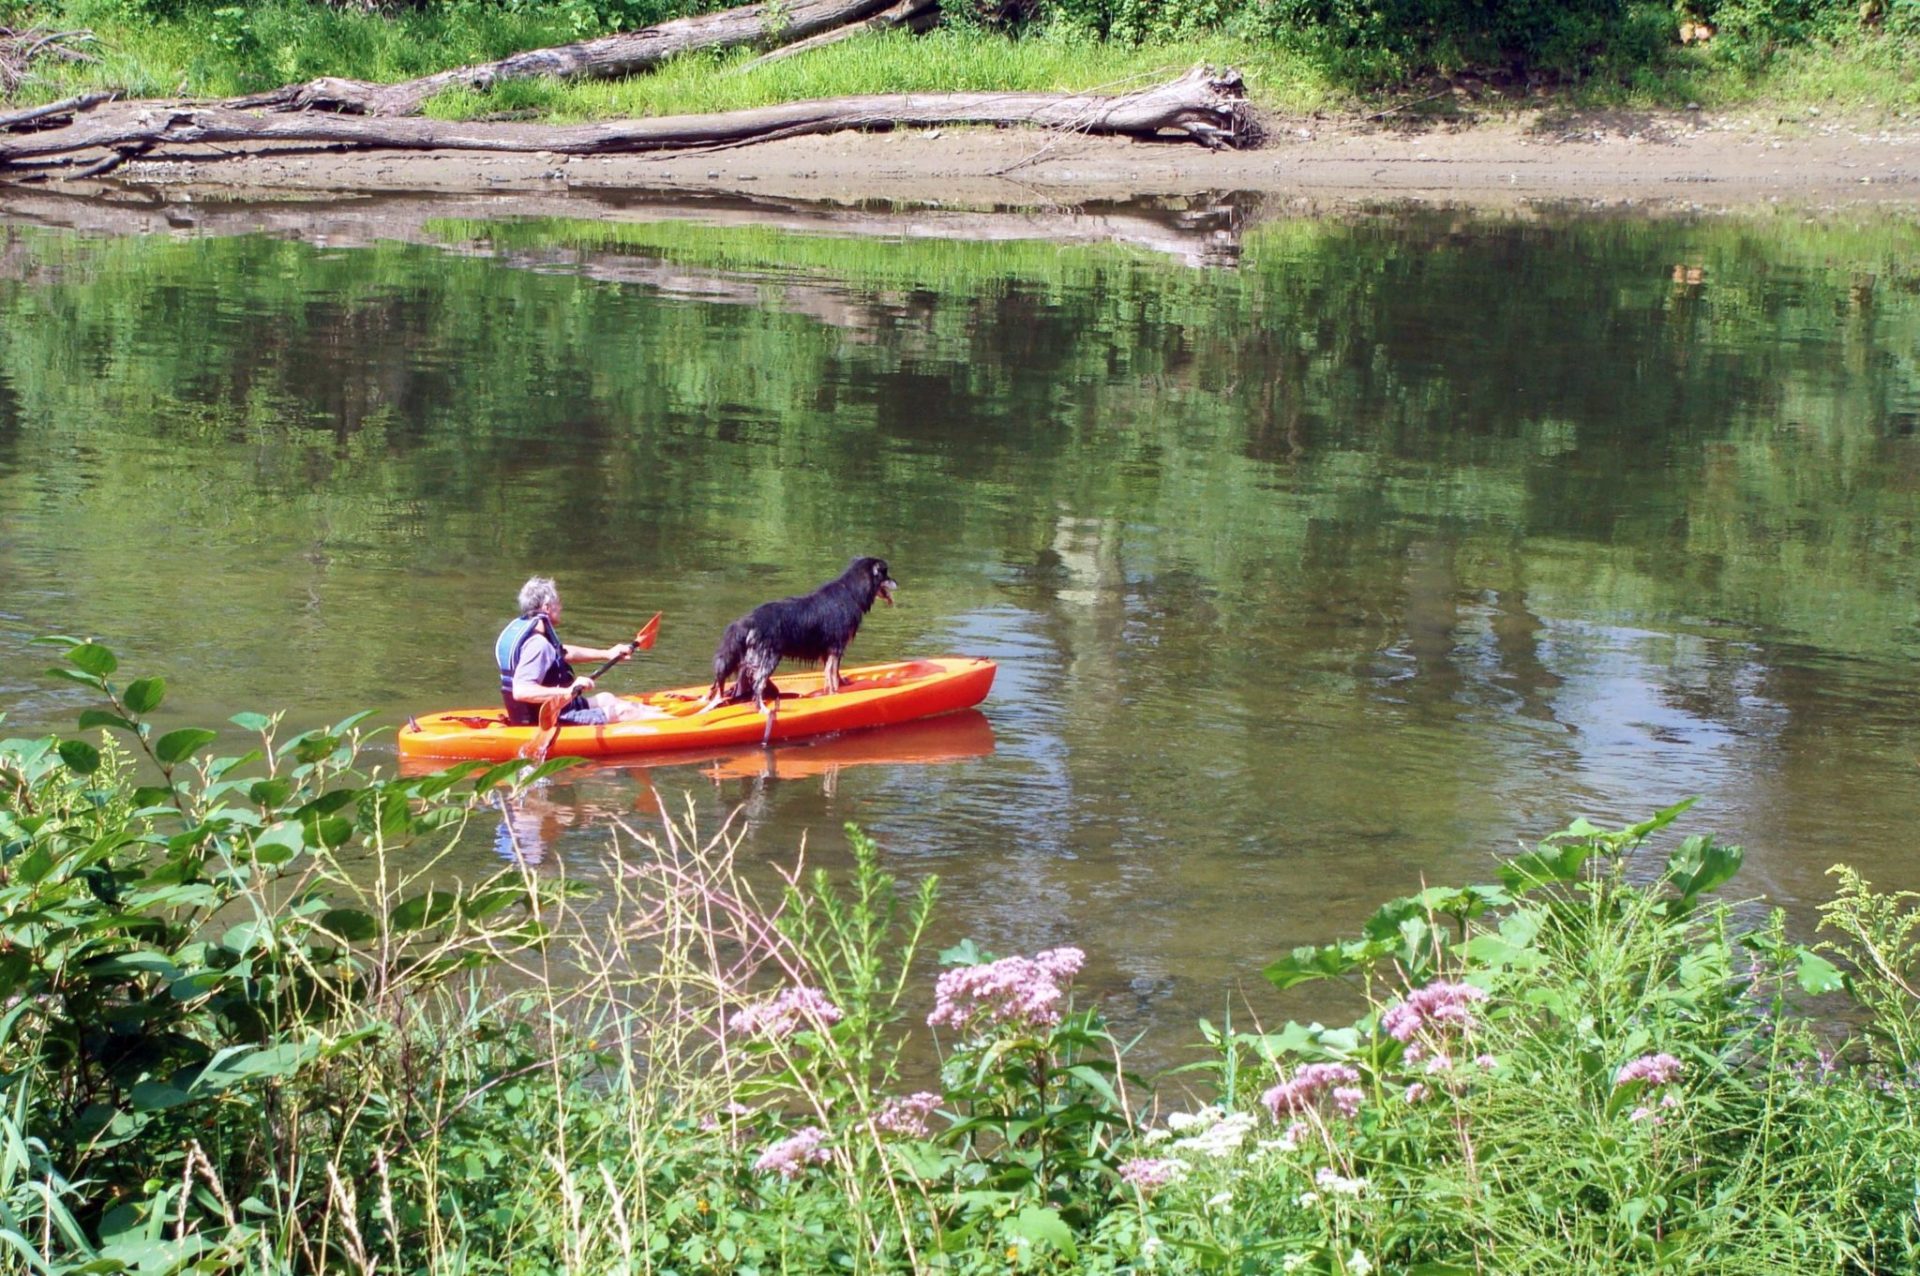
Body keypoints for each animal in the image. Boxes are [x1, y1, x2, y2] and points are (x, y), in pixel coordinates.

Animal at [706, 560, 898, 736]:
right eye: (885, 573)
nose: (897, 582)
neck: (851, 592)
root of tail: (746, 622)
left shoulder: (827, 650)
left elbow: (832, 673)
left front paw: (841, 684)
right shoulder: (836, 646)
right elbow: (832, 673)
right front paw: (835, 693)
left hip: (750, 660)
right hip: (768, 658)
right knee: (758, 685)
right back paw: (763, 709)